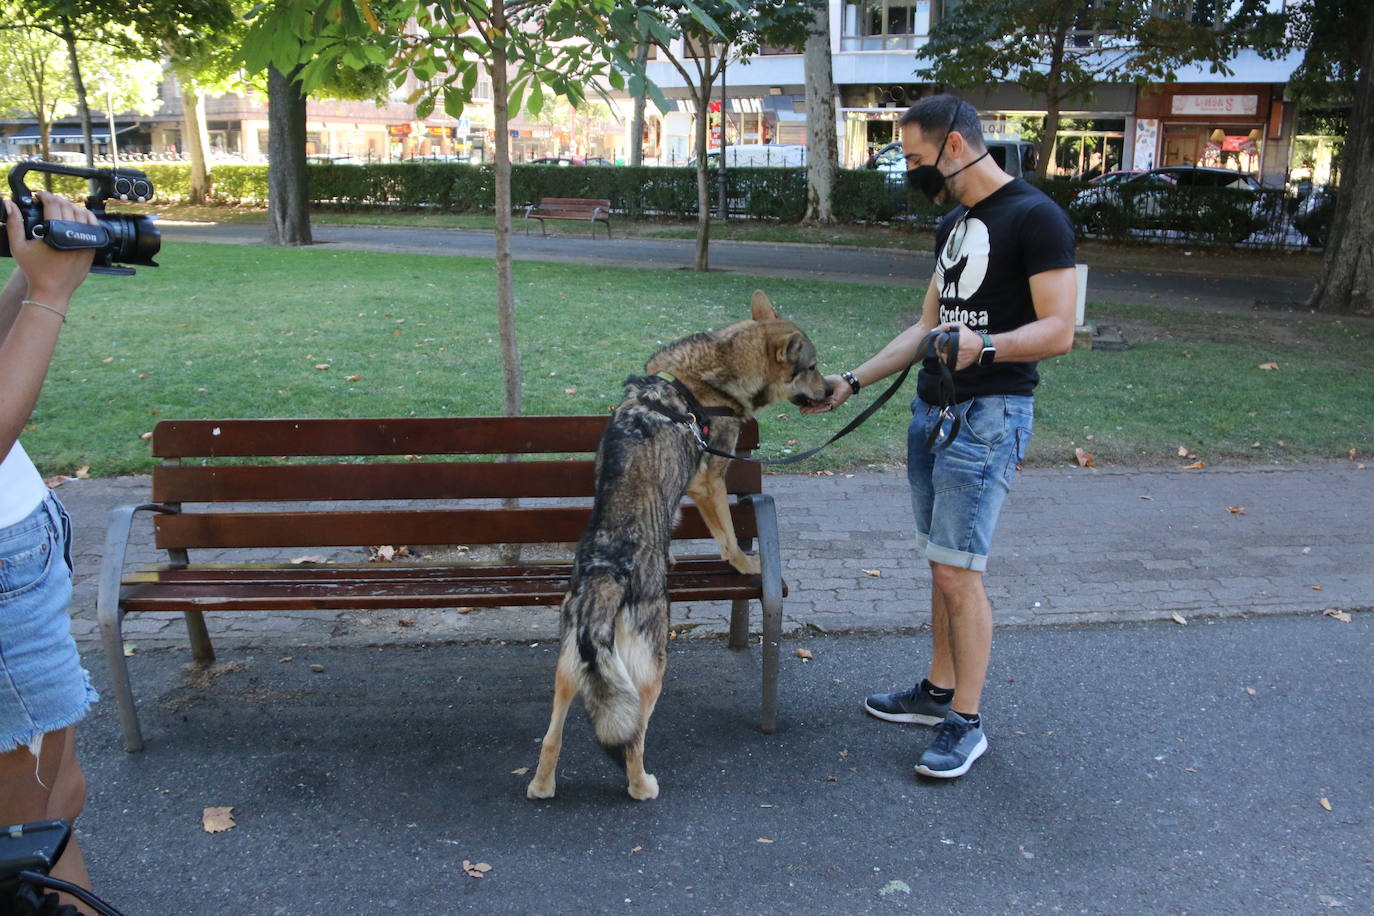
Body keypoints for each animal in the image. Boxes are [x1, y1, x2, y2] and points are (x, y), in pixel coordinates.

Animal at [522, 293, 824, 802]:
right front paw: (744, 563)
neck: (709, 375)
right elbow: (726, 536)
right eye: (814, 368)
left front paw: (673, 556)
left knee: (551, 735)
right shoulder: (710, 481)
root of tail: (606, 573)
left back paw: (543, 786)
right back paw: (642, 786)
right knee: (633, 737)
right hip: (650, 669)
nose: (836, 389)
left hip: (570, 667)